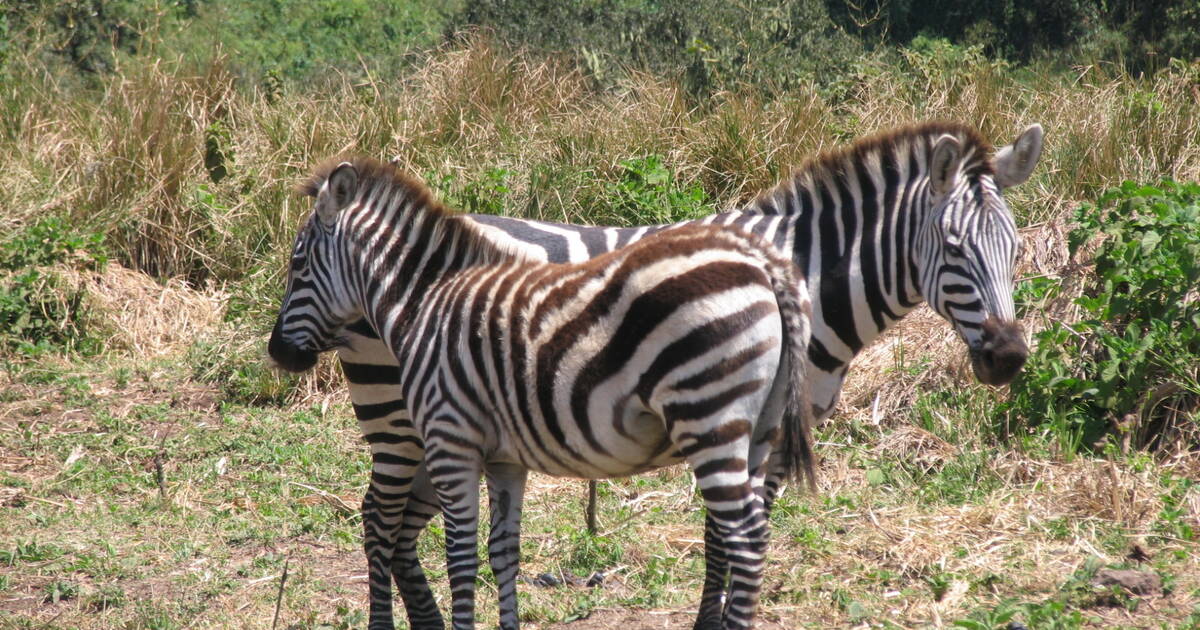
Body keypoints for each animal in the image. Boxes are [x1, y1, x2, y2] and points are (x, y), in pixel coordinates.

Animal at [270, 157, 816, 628]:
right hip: (757, 426)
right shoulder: (503, 458)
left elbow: (460, 556)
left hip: (708, 413)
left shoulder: (451, 440)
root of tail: (766, 267)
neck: (423, 301)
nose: (277, 352)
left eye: (297, 265)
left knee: (744, 538)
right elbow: (502, 553)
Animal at [333, 119, 1046, 628]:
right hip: (401, 421)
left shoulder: (766, 431)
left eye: (1015, 249)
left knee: (403, 527)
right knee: (379, 518)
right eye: (954, 249)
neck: (802, 273)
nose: (1009, 356)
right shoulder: (722, 416)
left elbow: (734, 536)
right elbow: (721, 539)